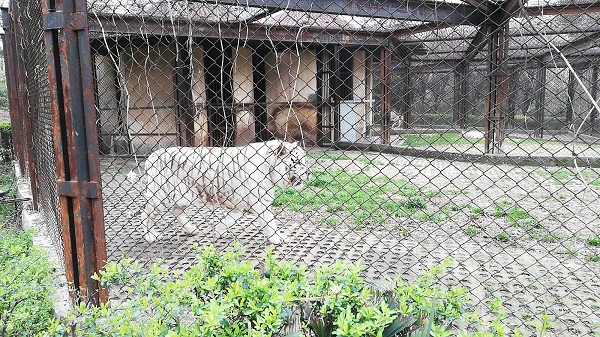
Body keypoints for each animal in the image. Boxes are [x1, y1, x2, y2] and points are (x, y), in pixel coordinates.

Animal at [139, 139, 312, 244]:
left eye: (305, 161)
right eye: (297, 162)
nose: (309, 172)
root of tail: (151, 157)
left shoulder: (238, 205)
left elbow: (231, 219)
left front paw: (218, 231)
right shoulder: (260, 202)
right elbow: (270, 222)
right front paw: (277, 238)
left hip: (183, 196)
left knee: (176, 211)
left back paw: (192, 230)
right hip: (160, 196)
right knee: (145, 214)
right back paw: (150, 236)